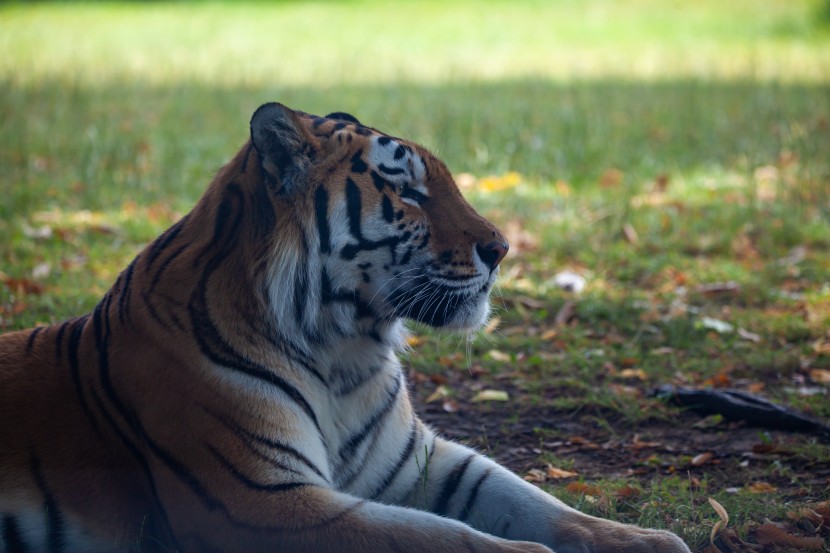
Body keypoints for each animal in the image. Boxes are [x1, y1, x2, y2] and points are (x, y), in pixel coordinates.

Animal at [0, 101, 696, 548]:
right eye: (409, 192)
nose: (501, 250)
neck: (344, 350)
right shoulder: (257, 502)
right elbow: (438, 539)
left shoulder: (418, 461)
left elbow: (528, 498)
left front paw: (646, 540)